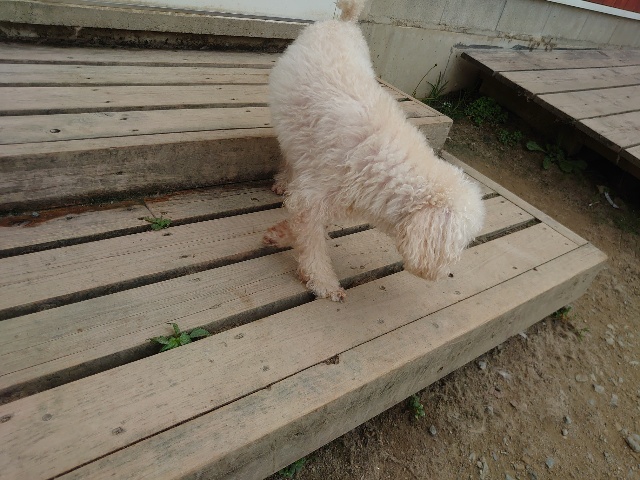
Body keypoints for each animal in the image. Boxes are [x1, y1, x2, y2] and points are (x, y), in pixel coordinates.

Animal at [264, 0, 485, 302]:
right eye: (458, 245)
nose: (446, 273)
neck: (385, 165)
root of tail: (344, 22)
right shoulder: (314, 193)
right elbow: (312, 244)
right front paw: (325, 283)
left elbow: (305, 229)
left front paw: (280, 234)